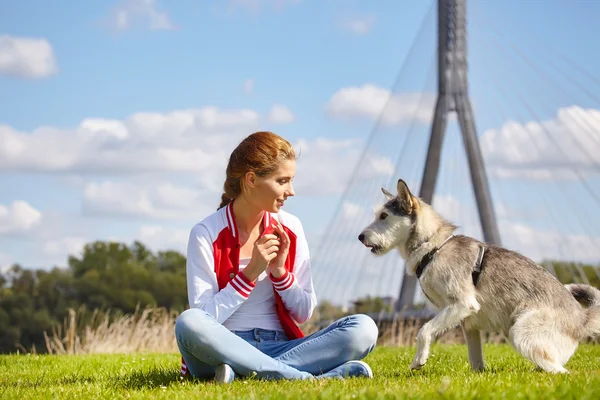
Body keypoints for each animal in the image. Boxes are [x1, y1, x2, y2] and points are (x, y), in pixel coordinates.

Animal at [358, 180, 596, 374]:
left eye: (384, 216)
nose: (360, 237)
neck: (433, 247)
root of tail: (582, 318)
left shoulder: (462, 304)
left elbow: (424, 330)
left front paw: (419, 359)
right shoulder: (467, 323)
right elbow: (475, 360)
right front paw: (478, 376)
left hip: (519, 332)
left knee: (562, 372)